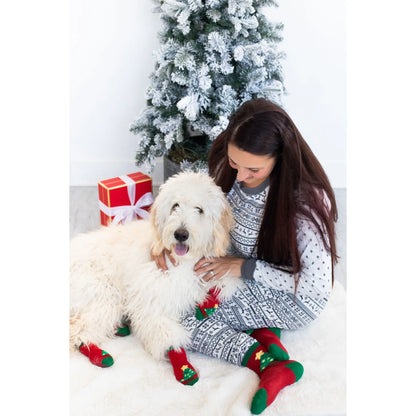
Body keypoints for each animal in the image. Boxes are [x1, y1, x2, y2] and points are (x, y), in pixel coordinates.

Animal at [70, 171, 242, 370]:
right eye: (175, 205)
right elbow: (165, 333)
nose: (180, 234)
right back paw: (100, 354)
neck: (182, 261)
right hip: (105, 295)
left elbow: (224, 282)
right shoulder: (152, 302)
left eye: (199, 209)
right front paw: (180, 360)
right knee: (77, 331)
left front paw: (212, 299)